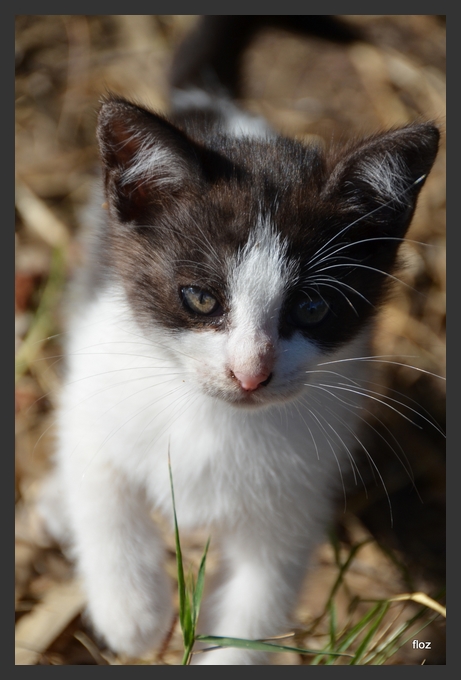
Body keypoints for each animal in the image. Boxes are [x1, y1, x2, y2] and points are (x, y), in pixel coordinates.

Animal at [40, 19, 438, 664]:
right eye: (201, 299)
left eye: (312, 307)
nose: (250, 373)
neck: (214, 421)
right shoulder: (101, 375)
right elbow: (100, 485)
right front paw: (131, 611)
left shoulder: (294, 503)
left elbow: (256, 604)